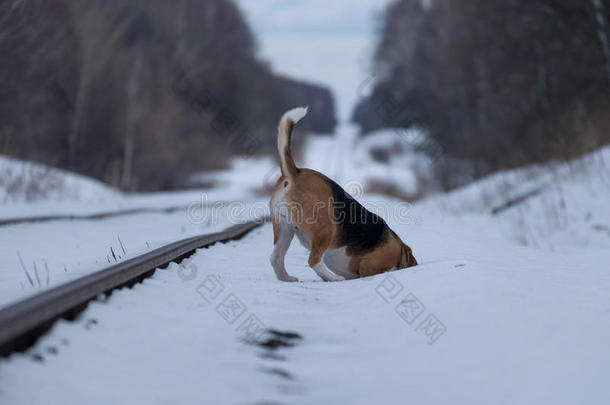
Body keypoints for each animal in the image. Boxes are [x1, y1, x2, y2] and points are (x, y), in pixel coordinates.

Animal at [268, 106, 416, 280]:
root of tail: (295, 173)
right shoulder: (369, 267)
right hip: (324, 230)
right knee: (314, 261)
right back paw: (334, 278)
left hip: (285, 229)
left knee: (276, 258)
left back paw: (287, 278)